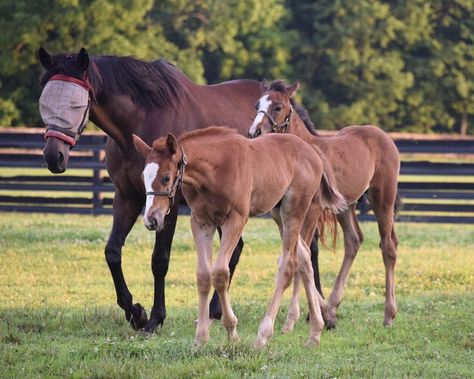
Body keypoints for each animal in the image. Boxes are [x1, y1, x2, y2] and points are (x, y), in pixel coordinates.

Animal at [133, 127, 344, 348]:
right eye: (143, 177)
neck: (214, 169)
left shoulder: (235, 219)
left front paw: (232, 331)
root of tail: (312, 152)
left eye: (166, 177)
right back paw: (315, 332)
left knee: (288, 265)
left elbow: (219, 273)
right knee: (304, 259)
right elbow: (203, 275)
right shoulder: (200, 221)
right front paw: (200, 339)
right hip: (278, 214)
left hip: (294, 211)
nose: (151, 219)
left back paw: (263, 335)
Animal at [250, 79, 402, 330]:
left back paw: (389, 314)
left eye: (278, 107)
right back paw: (332, 305)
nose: (254, 132)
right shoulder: (283, 215)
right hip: (345, 206)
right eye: (256, 105)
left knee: (388, 245)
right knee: (354, 240)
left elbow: (300, 260)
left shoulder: (311, 210)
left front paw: (291, 319)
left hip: (383, 196)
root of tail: (382, 135)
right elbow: (295, 257)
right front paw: (322, 314)